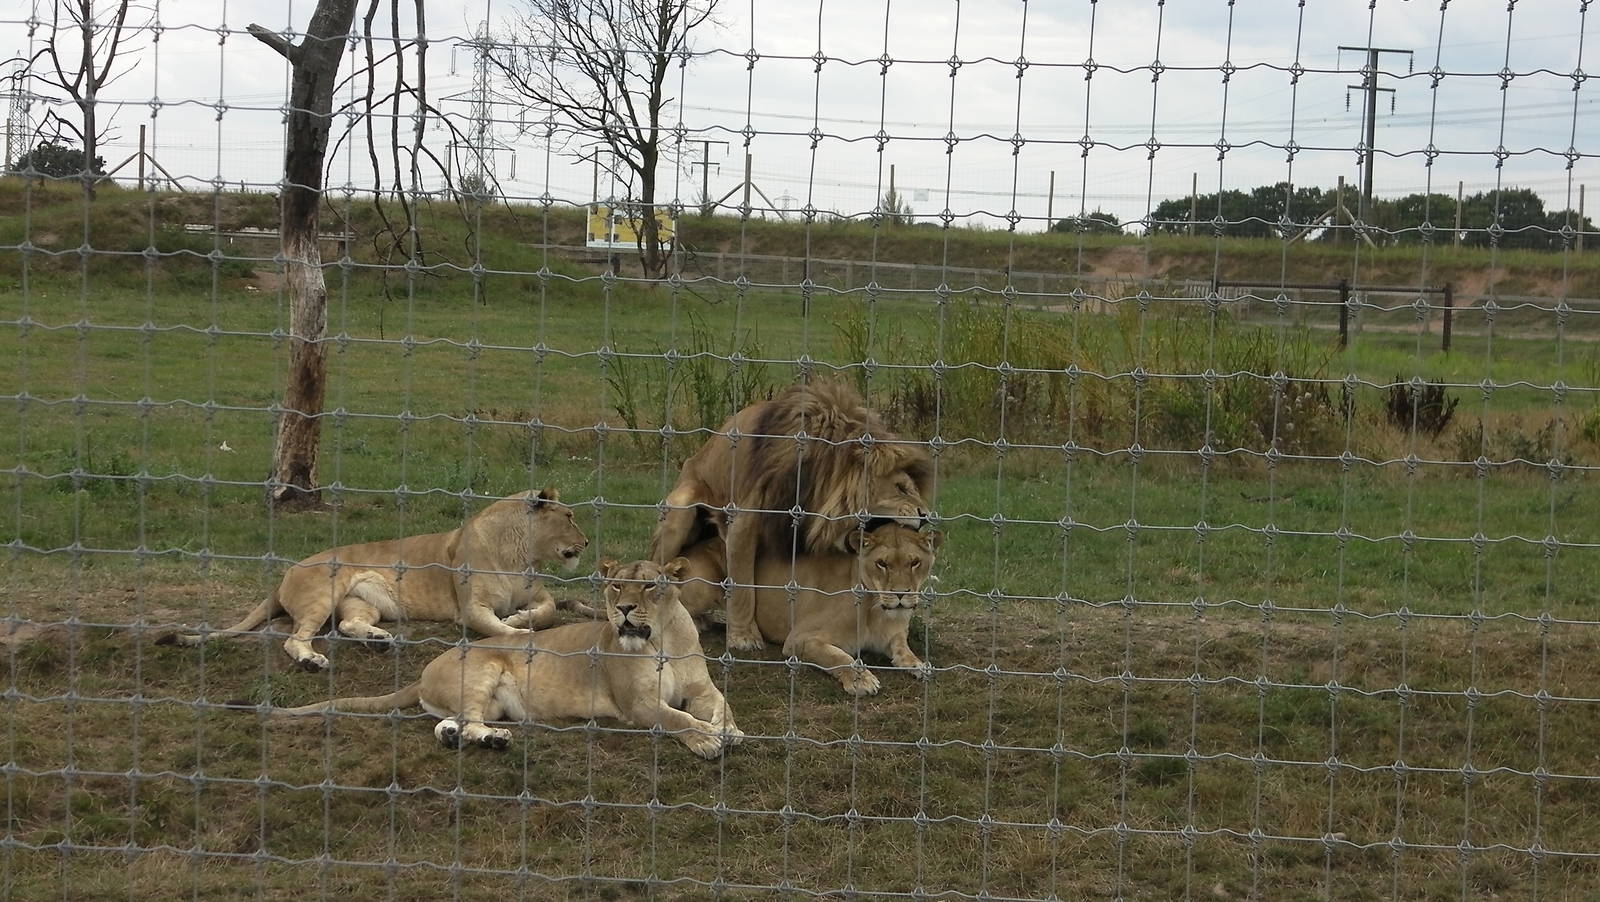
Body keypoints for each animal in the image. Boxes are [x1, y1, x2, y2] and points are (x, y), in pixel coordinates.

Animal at [160, 488, 590, 672]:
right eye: (569, 517)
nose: (586, 543)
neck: (520, 554)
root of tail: (285, 573)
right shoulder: (469, 610)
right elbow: (500, 627)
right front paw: (517, 630)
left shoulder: (538, 594)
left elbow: (549, 610)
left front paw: (519, 617)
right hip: (324, 591)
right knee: (294, 639)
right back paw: (312, 660)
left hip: (363, 603)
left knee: (348, 624)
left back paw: (379, 640)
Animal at [260, 558, 742, 759]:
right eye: (616, 587)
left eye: (649, 586)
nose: (623, 610)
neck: (662, 637)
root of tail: (425, 670)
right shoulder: (636, 704)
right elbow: (675, 718)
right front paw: (706, 739)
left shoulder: (703, 688)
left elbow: (722, 705)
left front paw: (729, 731)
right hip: (483, 671)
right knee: (470, 720)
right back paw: (493, 740)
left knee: (447, 723)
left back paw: (465, 738)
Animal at [650, 379, 933, 652]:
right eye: (900, 487)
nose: (926, 515)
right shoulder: (744, 521)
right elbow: (743, 586)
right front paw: (744, 637)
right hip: (681, 509)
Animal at [678, 521, 942, 696]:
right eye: (882, 564)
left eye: (915, 562)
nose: (901, 594)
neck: (877, 612)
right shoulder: (800, 639)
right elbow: (840, 657)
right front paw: (862, 681)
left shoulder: (894, 637)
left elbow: (904, 652)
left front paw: (920, 665)